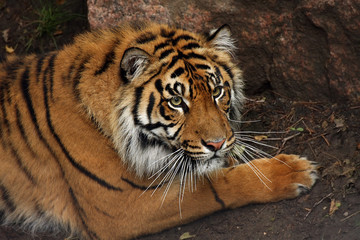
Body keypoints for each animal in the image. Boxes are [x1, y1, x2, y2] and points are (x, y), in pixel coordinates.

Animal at [0, 22, 318, 238]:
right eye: (176, 101)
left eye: (217, 91)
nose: (217, 144)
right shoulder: (122, 206)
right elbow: (213, 185)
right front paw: (292, 172)